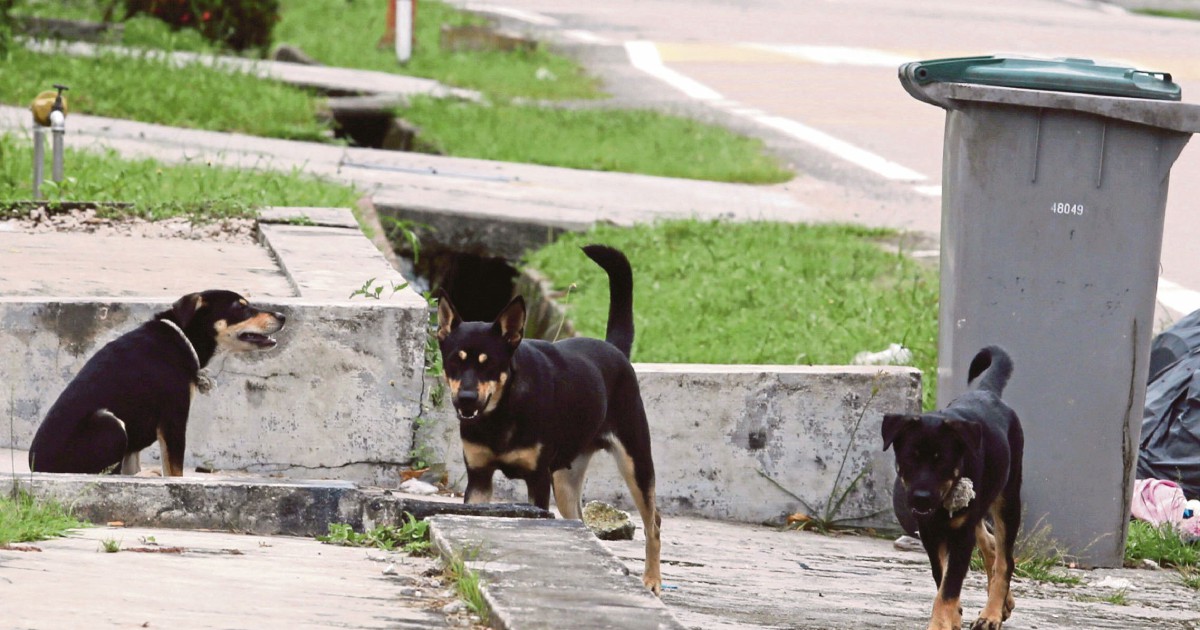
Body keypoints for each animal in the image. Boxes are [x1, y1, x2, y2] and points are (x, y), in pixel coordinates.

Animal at [29, 290, 283, 477]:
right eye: (240, 307)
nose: (282, 316)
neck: (183, 337)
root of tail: (36, 469)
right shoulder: (173, 418)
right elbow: (174, 471)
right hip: (109, 424)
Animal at [434, 243, 662, 592]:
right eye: (453, 362)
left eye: (489, 364)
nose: (466, 399)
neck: (503, 411)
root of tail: (615, 350)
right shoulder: (480, 477)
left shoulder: (538, 480)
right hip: (566, 480)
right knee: (579, 522)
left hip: (635, 461)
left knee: (654, 523)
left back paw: (651, 580)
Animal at [883, 345, 1022, 628]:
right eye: (909, 459)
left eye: (942, 462)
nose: (921, 498)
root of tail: (988, 392)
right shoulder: (930, 534)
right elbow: (942, 577)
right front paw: (953, 617)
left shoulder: (960, 537)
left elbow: (948, 587)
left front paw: (941, 622)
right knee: (991, 544)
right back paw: (1004, 604)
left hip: (1008, 499)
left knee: (1005, 560)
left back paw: (991, 614)